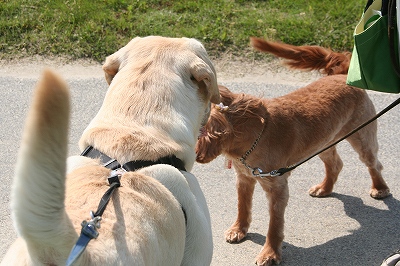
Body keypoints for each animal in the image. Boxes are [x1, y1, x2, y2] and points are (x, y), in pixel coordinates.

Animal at [195, 38, 390, 264]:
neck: (253, 133)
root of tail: (342, 76)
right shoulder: (243, 178)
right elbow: (242, 207)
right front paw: (239, 230)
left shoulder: (277, 188)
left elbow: (274, 225)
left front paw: (270, 253)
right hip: (323, 142)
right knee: (335, 164)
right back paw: (324, 188)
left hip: (361, 136)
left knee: (373, 164)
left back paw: (380, 188)